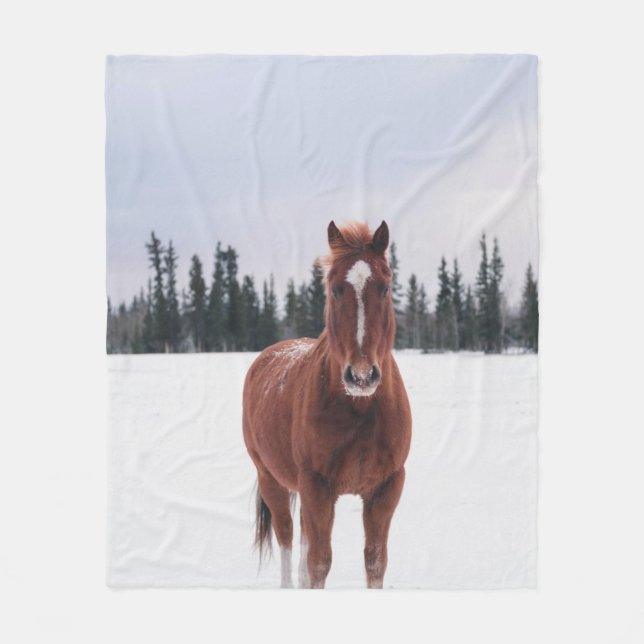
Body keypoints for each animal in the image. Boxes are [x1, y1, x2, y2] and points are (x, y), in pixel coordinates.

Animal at [242, 220, 412, 589]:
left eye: (385, 287)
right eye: (335, 289)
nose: (361, 375)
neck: (360, 410)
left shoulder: (386, 488)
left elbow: (375, 562)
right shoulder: (317, 487)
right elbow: (319, 563)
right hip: (271, 479)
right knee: (287, 538)